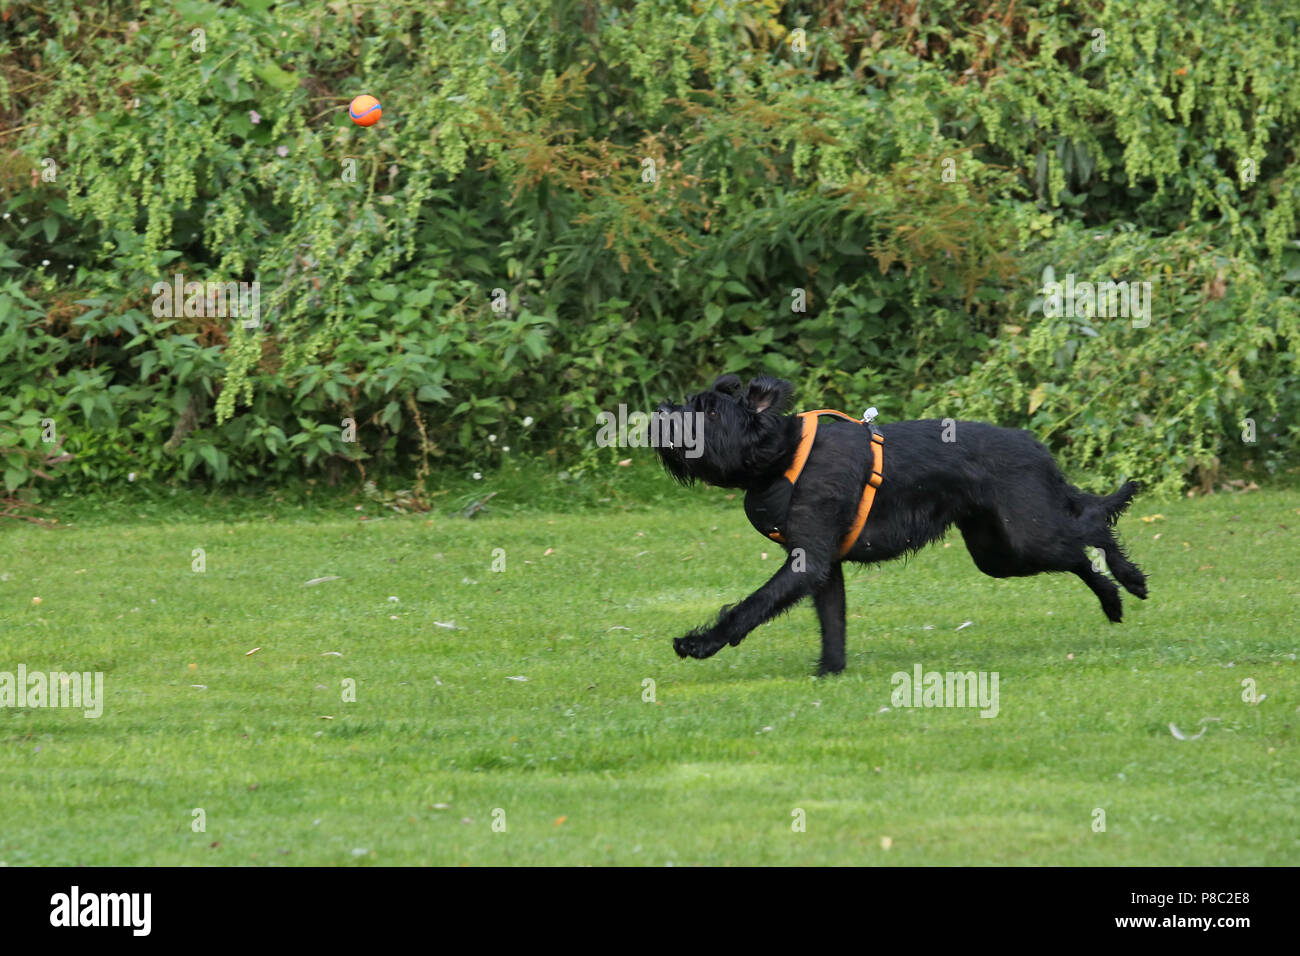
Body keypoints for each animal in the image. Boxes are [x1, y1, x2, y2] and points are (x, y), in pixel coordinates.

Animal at [655, 374, 1144, 671]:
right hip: (998, 552)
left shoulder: (806, 561)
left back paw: (1130, 580)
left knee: (1092, 528)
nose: (660, 413)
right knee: (1078, 554)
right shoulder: (825, 568)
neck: (783, 455)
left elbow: (752, 605)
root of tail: (1039, 448)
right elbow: (833, 622)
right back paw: (1112, 602)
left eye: (709, 411)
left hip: (1027, 533)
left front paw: (700, 643)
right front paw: (830, 673)